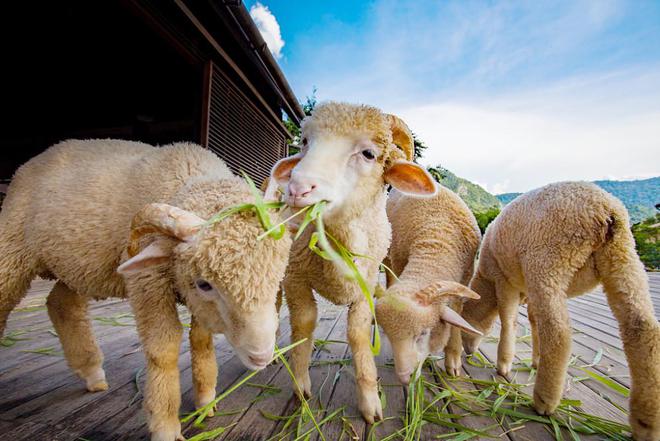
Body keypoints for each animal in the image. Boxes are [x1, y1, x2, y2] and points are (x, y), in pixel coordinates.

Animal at [0, 140, 292, 440]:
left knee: (61, 304)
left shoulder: (195, 298)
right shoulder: (148, 281)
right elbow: (163, 349)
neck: (188, 176)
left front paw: (205, 399)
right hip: (12, 248)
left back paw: (92, 373)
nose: (261, 356)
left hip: (76, 266)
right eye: (205, 284)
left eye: (277, 275)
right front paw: (165, 423)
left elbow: (201, 339)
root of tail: (33, 161)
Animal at [262, 101, 438, 422]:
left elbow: (357, 334)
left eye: (368, 153)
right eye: (305, 142)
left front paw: (370, 402)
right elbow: (304, 324)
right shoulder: (296, 277)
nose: (297, 188)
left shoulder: (365, 284)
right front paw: (300, 384)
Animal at [374, 187, 482, 384]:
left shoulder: (464, 279)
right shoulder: (400, 260)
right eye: (393, 338)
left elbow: (456, 322)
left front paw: (453, 361)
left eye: (423, 333)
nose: (405, 378)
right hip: (388, 253)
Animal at [462, 180, 656, 438]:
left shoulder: (505, 280)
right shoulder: (527, 291)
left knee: (558, 333)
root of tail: (605, 209)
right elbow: (533, 320)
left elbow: (508, 319)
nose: (468, 352)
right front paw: (536, 359)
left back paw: (544, 401)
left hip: (548, 262)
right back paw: (646, 423)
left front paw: (504, 365)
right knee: (642, 328)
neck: (487, 284)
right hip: (622, 259)